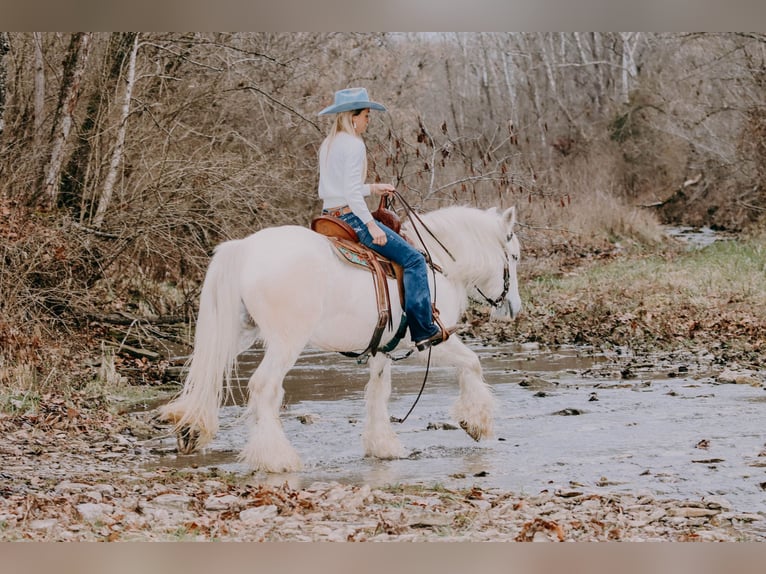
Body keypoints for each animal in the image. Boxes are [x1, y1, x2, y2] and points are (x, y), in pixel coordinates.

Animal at [160, 206, 524, 472]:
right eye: (515, 256)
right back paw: (277, 457)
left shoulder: (383, 350)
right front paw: (475, 421)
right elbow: (472, 364)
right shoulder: (432, 342)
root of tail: (247, 248)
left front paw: (383, 446)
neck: (437, 263)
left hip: (239, 333)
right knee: (265, 388)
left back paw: (190, 428)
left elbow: (378, 392)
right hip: (286, 342)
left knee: (208, 373)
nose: (514, 307)